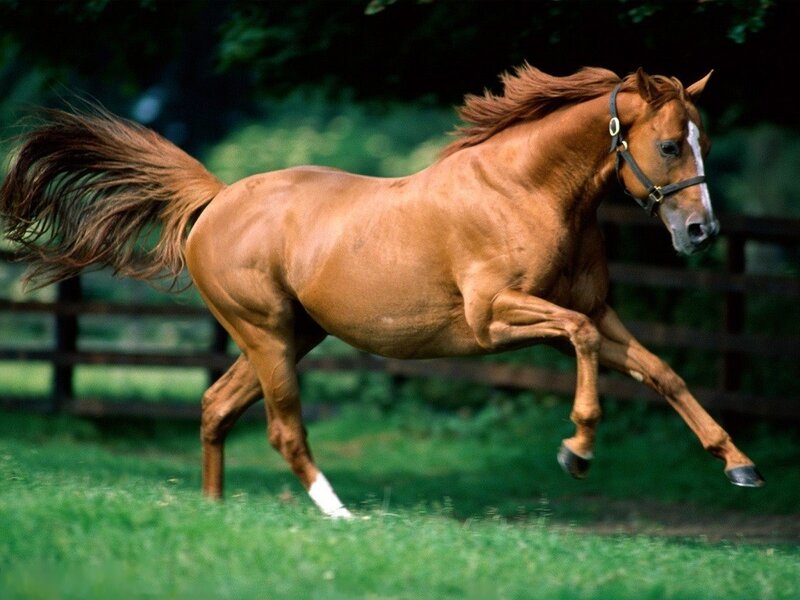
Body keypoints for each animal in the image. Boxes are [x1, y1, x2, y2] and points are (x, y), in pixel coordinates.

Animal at [0, 64, 764, 519]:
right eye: (670, 145)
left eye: (703, 139)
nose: (701, 231)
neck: (526, 191)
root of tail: (216, 199)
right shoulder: (497, 320)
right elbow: (580, 346)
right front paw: (576, 450)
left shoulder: (597, 311)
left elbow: (663, 372)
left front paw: (740, 466)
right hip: (266, 334)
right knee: (282, 427)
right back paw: (339, 514)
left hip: (293, 335)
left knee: (216, 405)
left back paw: (214, 511)